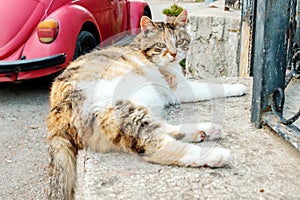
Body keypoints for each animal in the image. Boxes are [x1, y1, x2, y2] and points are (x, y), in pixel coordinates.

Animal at [45, 10, 245, 199]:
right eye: (160, 45)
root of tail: (56, 112)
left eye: (179, 42)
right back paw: (216, 155)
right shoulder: (180, 88)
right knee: (156, 148)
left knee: (165, 130)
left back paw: (206, 131)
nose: (174, 54)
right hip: (124, 111)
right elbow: (211, 86)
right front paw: (238, 87)